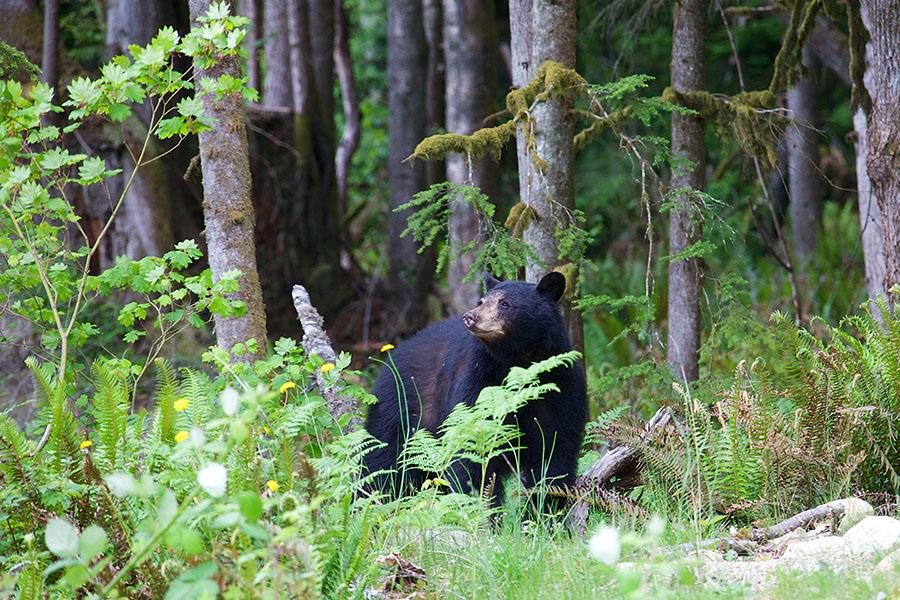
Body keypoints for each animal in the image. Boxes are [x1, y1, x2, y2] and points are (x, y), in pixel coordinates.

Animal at [363, 271, 587, 508]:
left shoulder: (561, 385)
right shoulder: (478, 379)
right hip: (400, 411)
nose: (470, 317)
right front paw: (482, 508)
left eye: (505, 303)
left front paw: (546, 509)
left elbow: (555, 449)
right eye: (481, 301)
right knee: (384, 461)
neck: (519, 363)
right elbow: (471, 444)